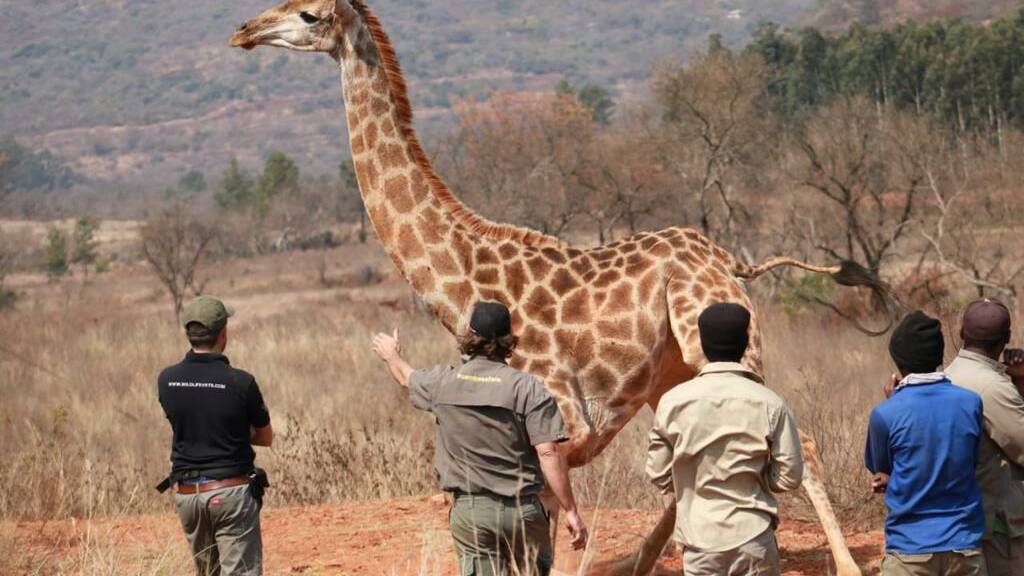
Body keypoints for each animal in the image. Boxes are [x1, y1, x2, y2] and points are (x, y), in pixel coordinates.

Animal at [230, 2, 864, 574]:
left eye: (309, 14)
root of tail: (730, 260)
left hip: (723, 345)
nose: (244, 31)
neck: (465, 284)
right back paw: (635, 562)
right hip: (673, 372)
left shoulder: (558, 423)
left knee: (801, 451)